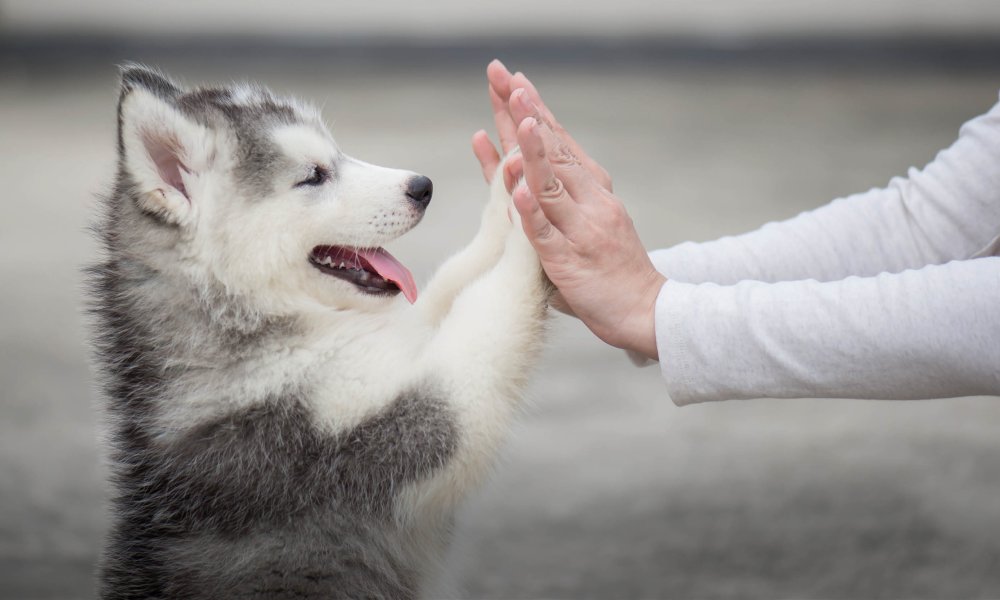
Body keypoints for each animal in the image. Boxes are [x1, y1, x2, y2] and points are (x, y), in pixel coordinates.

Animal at [89, 65, 552, 600]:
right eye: (313, 175)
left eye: (337, 154)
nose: (423, 186)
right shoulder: (379, 431)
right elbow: (488, 312)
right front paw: (536, 221)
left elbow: (452, 280)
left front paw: (510, 190)